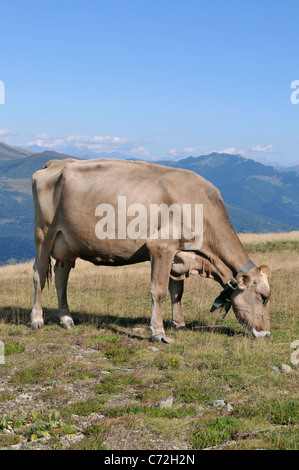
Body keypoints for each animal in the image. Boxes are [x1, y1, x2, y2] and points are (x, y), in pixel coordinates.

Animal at [31, 158, 272, 342]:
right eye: (263, 296)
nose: (266, 333)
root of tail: (56, 163)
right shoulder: (160, 247)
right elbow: (159, 291)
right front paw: (158, 332)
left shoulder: (178, 256)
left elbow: (177, 292)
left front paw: (179, 323)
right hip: (43, 234)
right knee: (38, 275)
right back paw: (37, 319)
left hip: (67, 245)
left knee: (61, 278)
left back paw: (66, 319)